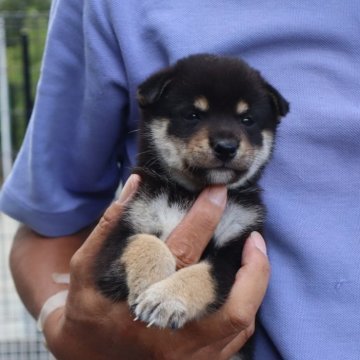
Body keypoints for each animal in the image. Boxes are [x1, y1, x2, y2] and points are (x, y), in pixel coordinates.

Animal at [94, 54, 288, 358]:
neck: (189, 193)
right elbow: (146, 241)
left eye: (247, 120)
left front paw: (165, 298)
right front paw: (150, 280)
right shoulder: (118, 238)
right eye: (193, 115)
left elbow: (203, 274)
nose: (226, 146)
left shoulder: (236, 251)